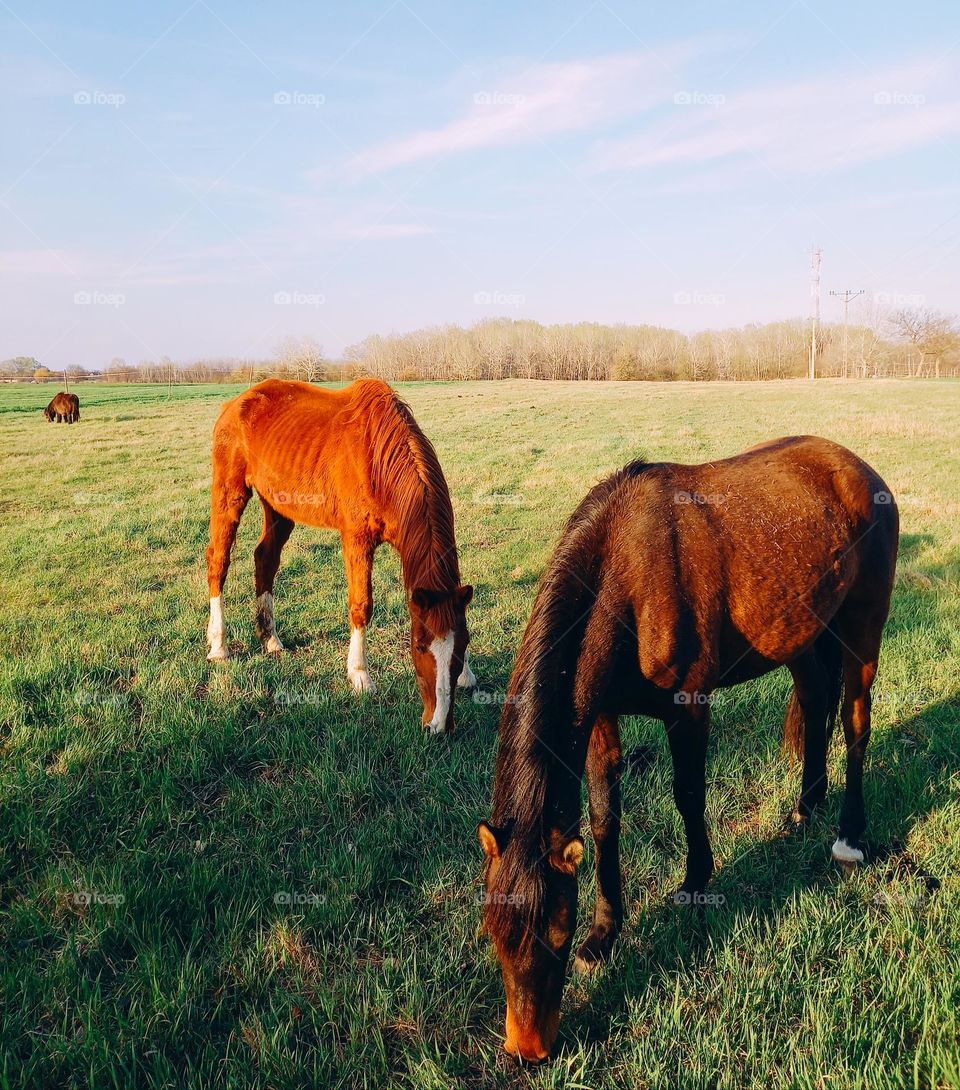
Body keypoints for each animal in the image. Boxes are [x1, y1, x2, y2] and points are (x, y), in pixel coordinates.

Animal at [204, 378, 475, 734]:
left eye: (462, 646)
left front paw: (467, 673)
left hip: (277, 505)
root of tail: (235, 404)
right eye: (418, 645)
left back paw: (270, 638)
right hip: (230, 492)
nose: (439, 725)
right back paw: (218, 645)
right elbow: (361, 605)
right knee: (218, 562)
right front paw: (360, 675)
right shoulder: (356, 541)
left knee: (265, 559)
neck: (377, 458)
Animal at [478, 435, 899, 1063]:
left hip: (862, 629)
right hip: (803, 631)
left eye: (557, 930)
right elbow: (604, 816)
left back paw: (849, 833)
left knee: (854, 722)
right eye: (494, 933)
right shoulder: (600, 715)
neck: (628, 571)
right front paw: (606, 931)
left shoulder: (689, 707)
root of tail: (859, 470)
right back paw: (806, 805)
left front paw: (697, 880)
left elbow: (688, 795)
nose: (527, 1049)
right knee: (815, 701)